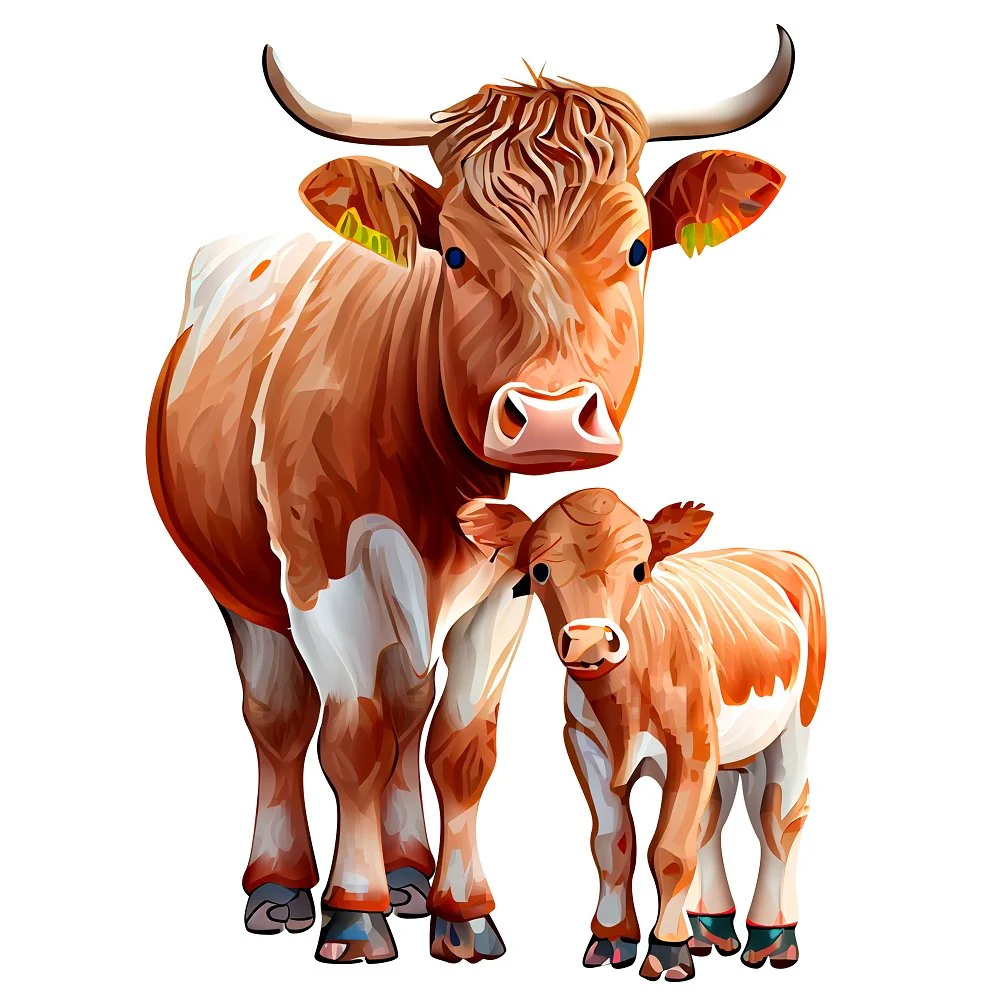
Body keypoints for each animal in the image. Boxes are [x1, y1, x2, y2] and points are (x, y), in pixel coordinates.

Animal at [146, 28, 795, 965]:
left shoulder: (506, 589)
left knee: (408, 706)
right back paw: (281, 885)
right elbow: (351, 738)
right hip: (241, 590)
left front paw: (462, 911)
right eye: (452, 253)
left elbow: (460, 745)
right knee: (279, 718)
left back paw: (410, 872)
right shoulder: (320, 582)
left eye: (638, 249)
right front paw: (354, 911)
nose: (552, 417)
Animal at [459, 489, 825, 980]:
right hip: (728, 751)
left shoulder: (691, 746)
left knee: (778, 816)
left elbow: (670, 851)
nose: (590, 641)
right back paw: (711, 928)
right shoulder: (585, 745)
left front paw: (668, 948)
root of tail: (772, 553)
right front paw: (613, 937)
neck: (623, 709)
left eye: (639, 569)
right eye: (539, 570)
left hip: (795, 726)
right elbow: (612, 845)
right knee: (715, 816)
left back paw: (772, 936)